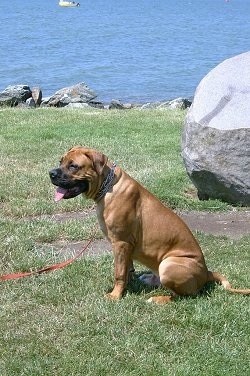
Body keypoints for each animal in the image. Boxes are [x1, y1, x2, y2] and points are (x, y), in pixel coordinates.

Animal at [49, 146, 250, 302]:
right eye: (60, 161)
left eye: (73, 166)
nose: (51, 173)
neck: (107, 187)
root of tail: (206, 273)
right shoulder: (126, 247)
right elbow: (127, 269)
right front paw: (127, 285)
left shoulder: (121, 243)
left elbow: (119, 273)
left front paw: (115, 295)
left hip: (169, 265)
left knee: (182, 296)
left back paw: (158, 299)